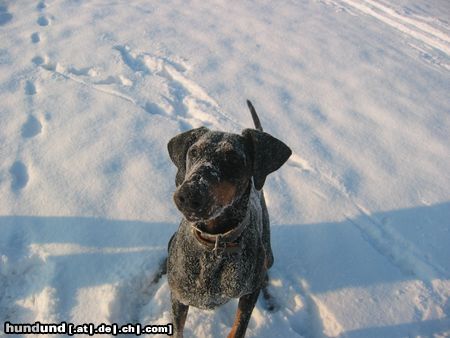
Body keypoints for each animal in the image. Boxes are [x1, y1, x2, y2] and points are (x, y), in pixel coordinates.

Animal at [166, 101, 292, 338]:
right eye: (193, 152)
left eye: (233, 158)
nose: (187, 195)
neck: (214, 242)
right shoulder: (179, 296)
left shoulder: (249, 293)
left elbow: (238, 327)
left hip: (268, 254)